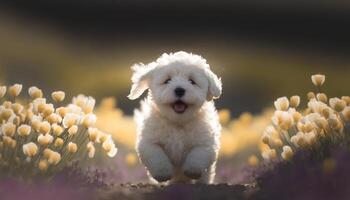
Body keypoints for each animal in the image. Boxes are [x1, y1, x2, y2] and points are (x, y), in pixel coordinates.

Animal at [128, 50, 221, 184]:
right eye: (167, 80)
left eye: (192, 81)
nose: (179, 90)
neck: (177, 123)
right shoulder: (148, 141)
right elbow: (156, 155)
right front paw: (162, 173)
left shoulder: (206, 142)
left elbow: (198, 155)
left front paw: (192, 170)